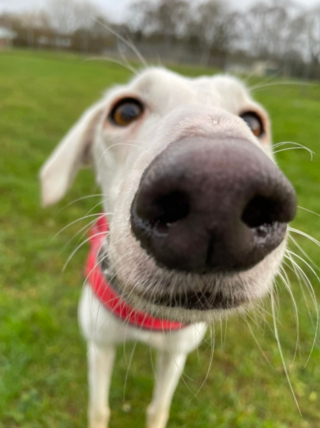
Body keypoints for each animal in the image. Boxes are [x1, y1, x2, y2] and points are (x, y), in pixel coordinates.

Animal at [40, 67, 298, 428]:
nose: (219, 189)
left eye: (254, 121)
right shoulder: (100, 344)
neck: (147, 316)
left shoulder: (175, 352)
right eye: (125, 111)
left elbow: (158, 408)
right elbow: (99, 408)